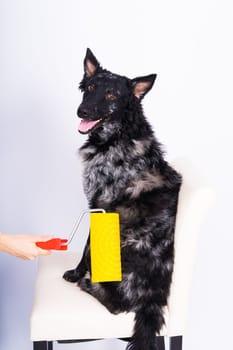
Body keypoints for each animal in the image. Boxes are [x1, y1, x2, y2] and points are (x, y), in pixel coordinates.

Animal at [63, 48, 182, 350]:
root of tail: (157, 296)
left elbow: (87, 249)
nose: (82, 111)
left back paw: (89, 284)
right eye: (90, 88)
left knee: (118, 306)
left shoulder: (100, 206)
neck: (118, 136)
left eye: (111, 95)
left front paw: (77, 274)